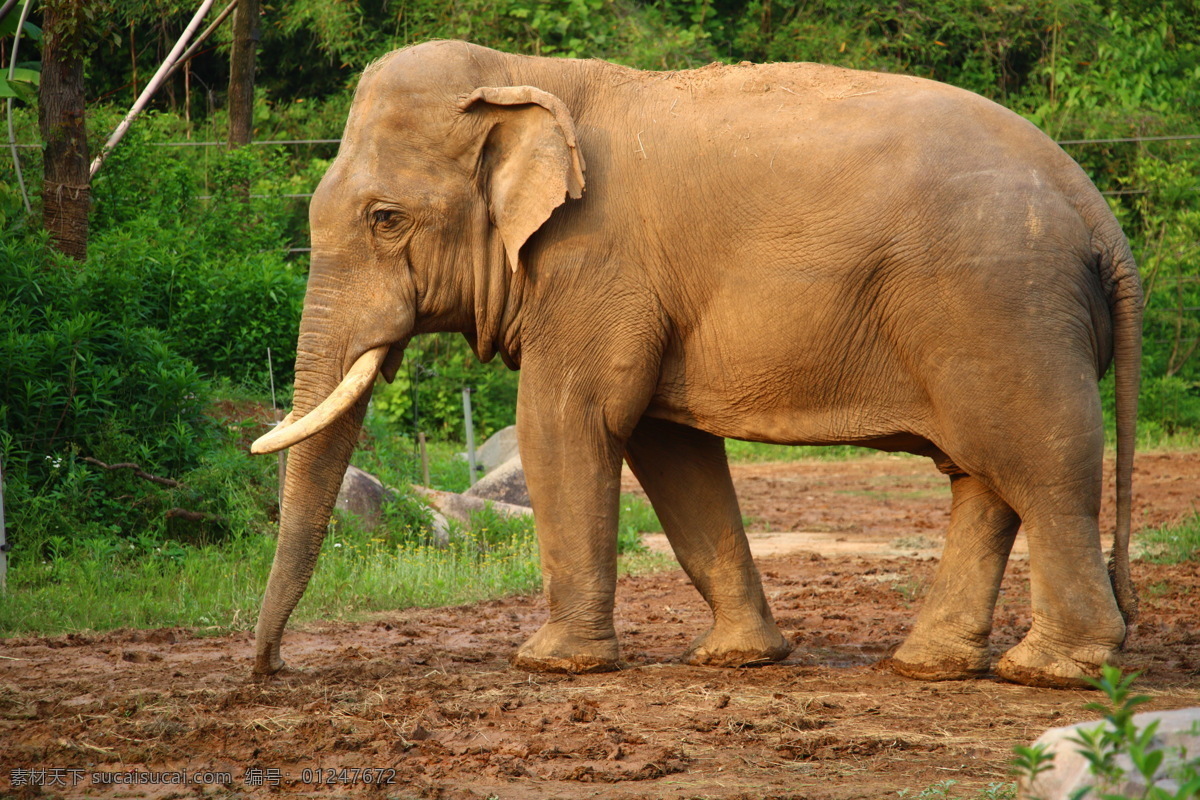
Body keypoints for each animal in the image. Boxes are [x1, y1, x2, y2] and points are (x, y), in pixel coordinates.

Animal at [251, 40, 1142, 689]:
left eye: (386, 219)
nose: (271, 669)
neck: (520, 74)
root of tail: (1100, 215)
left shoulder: (593, 266)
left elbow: (566, 422)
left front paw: (551, 664)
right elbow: (668, 448)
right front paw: (735, 660)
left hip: (1004, 306)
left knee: (1037, 460)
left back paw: (1049, 672)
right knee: (984, 474)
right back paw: (928, 668)